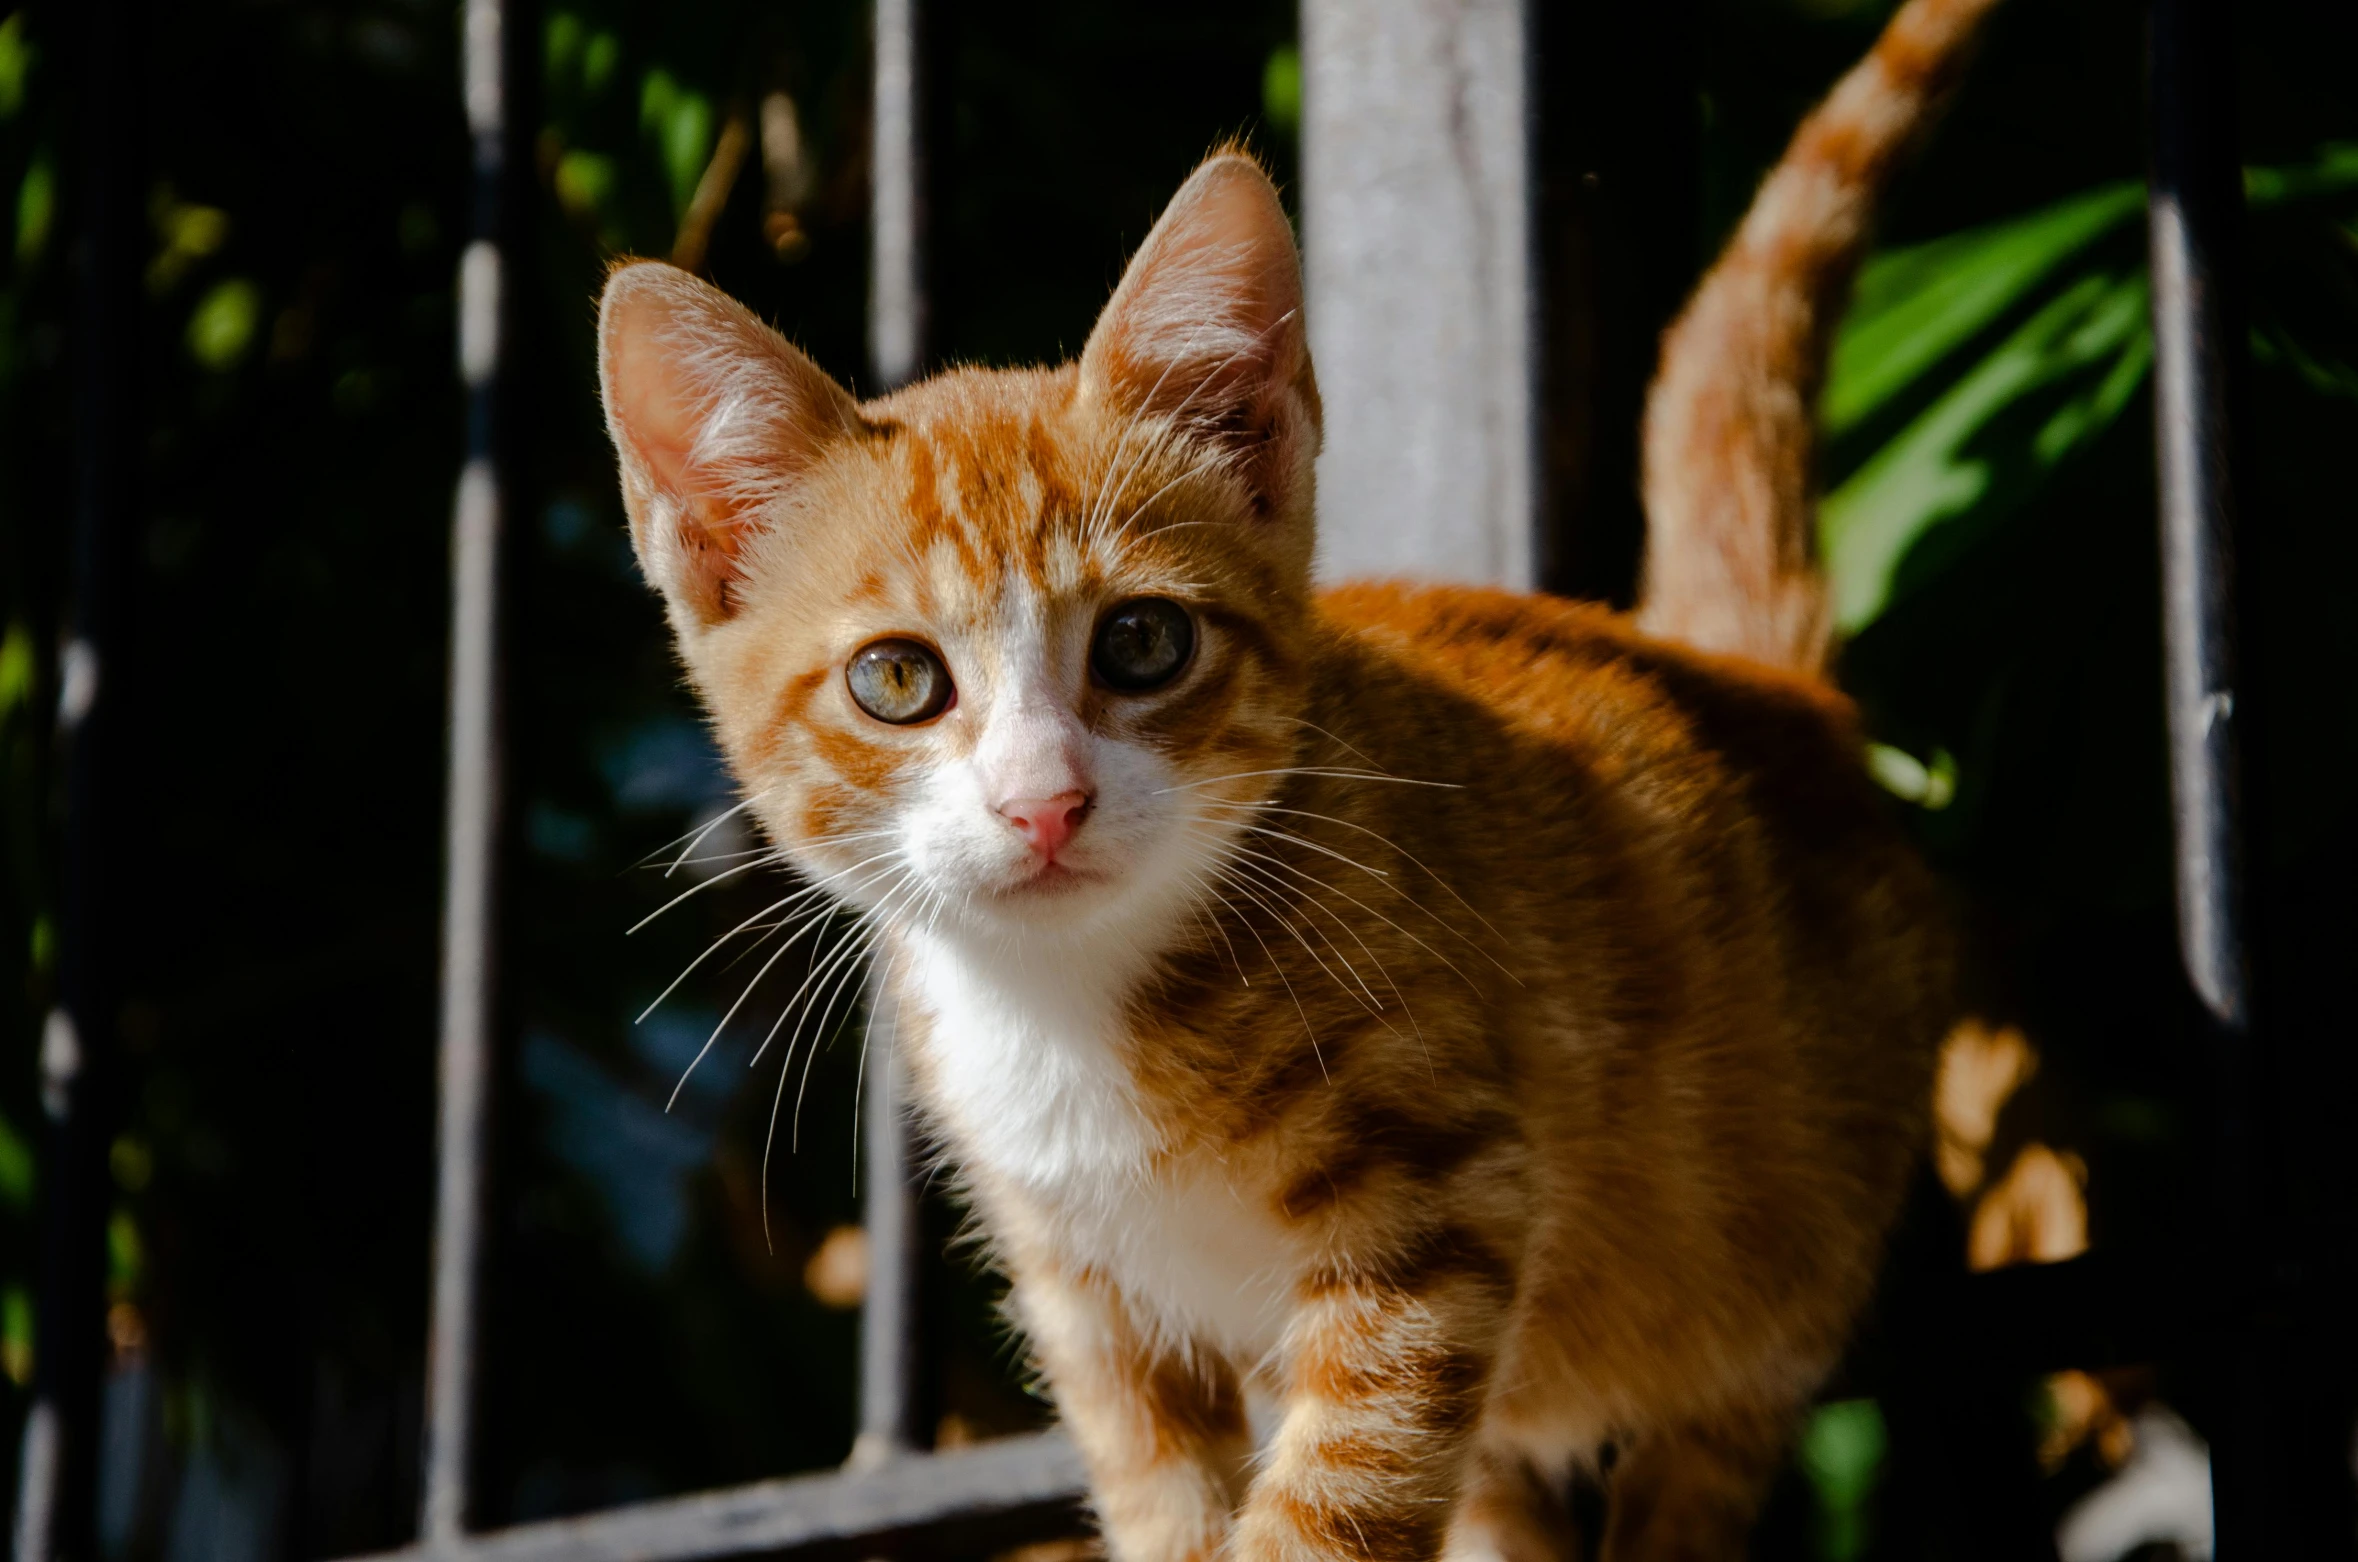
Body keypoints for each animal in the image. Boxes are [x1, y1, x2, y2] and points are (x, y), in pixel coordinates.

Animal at [598, 0, 1999, 1557]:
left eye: (1143, 642)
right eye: (896, 680)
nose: (1043, 799)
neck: (1077, 1003)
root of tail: (1767, 688)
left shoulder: (1437, 1208)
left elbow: (1337, 1491)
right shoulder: (1091, 1298)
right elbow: (1165, 1494)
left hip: (1771, 1275)